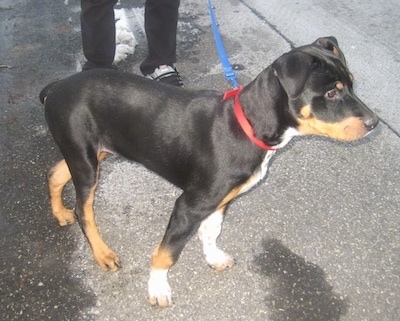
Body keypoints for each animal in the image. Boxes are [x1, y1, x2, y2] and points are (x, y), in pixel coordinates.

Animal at [39, 37, 378, 304]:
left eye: (351, 83)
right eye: (331, 93)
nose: (374, 123)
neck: (249, 125)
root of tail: (56, 87)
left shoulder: (221, 199)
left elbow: (211, 231)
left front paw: (213, 257)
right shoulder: (190, 204)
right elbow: (167, 252)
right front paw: (158, 289)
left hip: (93, 152)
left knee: (55, 174)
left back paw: (59, 214)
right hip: (85, 159)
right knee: (84, 210)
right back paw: (102, 253)